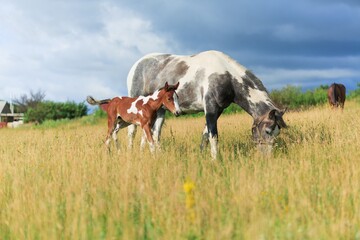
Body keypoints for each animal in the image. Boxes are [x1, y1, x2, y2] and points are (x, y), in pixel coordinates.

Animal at [126, 50, 286, 159]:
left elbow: (205, 136)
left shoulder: (217, 110)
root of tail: (136, 65)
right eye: (267, 131)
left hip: (160, 111)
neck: (226, 76)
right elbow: (213, 136)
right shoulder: (210, 109)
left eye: (277, 133)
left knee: (153, 133)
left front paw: (202, 157)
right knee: (132, 131)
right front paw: (215, 160)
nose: (266, 157)